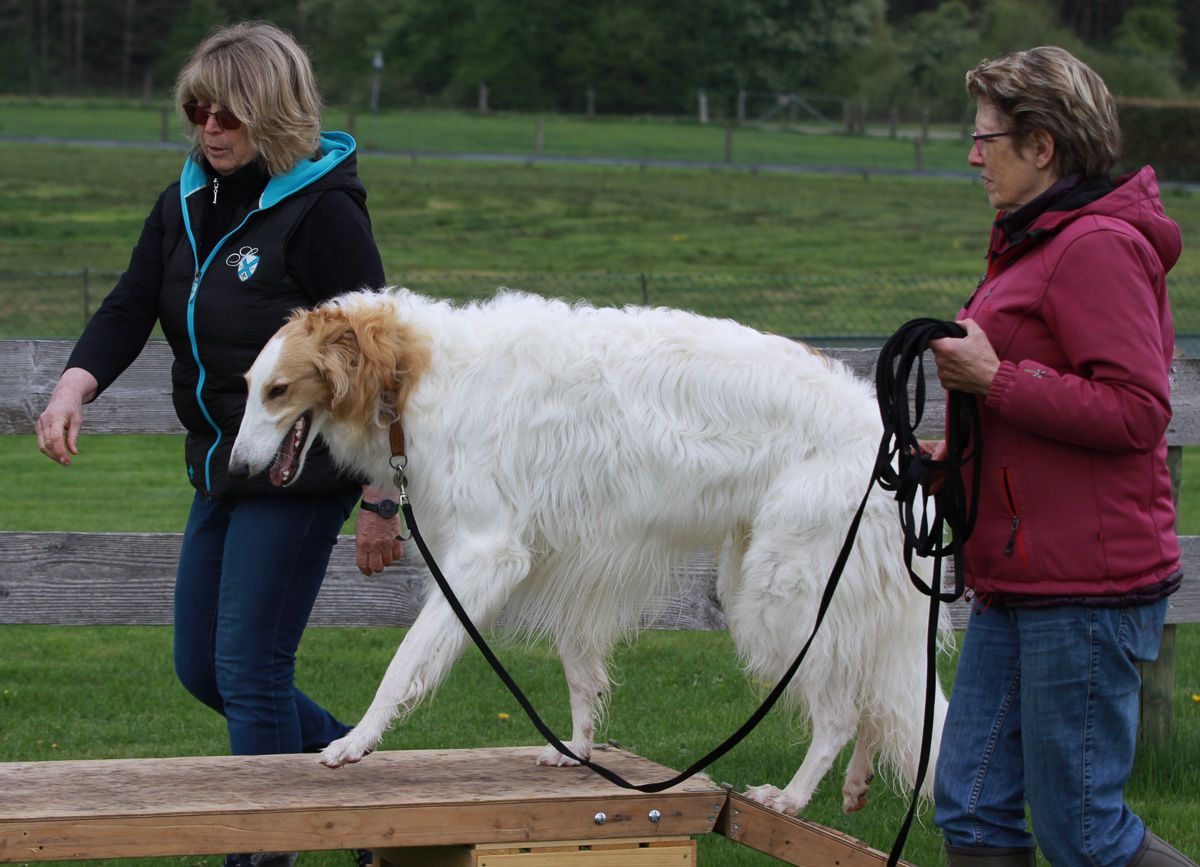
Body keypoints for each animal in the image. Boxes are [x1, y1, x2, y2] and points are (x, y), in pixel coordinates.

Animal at [228, 288, 949, 816]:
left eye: (278, 390)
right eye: (249, 384)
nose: (233, 471)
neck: (410, 373)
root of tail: (895, 439)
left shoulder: (485, 555)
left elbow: (404, 662)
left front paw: (355, 742)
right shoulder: (568, 560)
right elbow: (580, 674)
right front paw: (576, 748)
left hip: (784, 594)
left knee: (840, 711)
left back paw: (794, 796)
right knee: (879, 699)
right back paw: (854, 786)